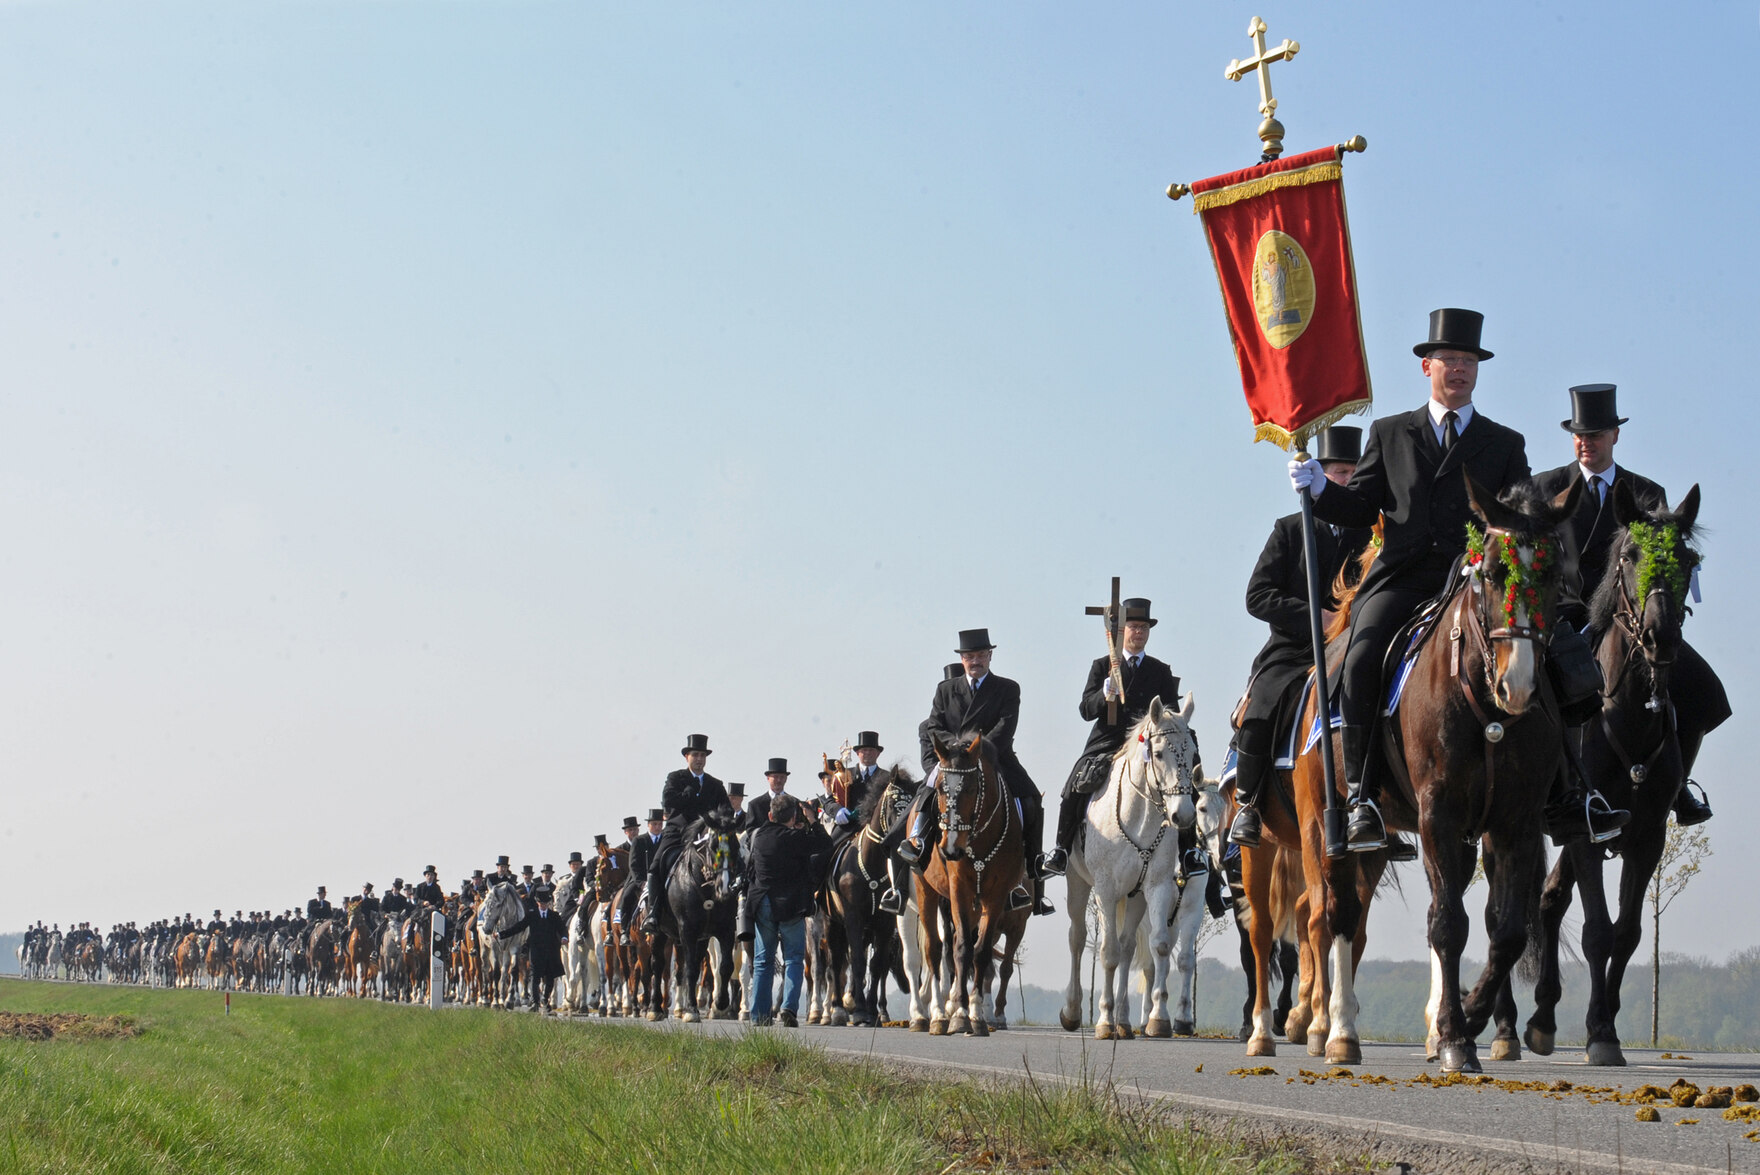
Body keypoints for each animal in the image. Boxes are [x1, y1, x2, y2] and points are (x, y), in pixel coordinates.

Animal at [478, 879, 524, 1013]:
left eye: (498, 905)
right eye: (487, 903)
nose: (486, 928)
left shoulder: (514, 947)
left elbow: (512, 971)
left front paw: (508, 1001)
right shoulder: (494, 947)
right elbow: (496, 972)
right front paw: (494, 1002)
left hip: (505, 951)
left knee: (504, 971)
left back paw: (502, 1000)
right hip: (484, 947)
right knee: (485, 968)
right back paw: (485, 1000)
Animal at [1048, 693, 1203, 1041]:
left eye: (1192, 753)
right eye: (1158, 754)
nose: (1184, 816)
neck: (1141, 816)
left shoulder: (1157, 888)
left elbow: (1158, 947)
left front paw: (1157, 1020)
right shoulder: (1105, 890)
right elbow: (1107, 953)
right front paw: (1104, 1022)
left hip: (1134, 898)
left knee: (1128, 946)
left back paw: (1123, 1020)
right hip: (1078, 883)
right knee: (1078, 938)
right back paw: (1073, 1012)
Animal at [1527, 478, 1703, 1062]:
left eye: (1688, 559)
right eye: (1630, 555)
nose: (1659, 639)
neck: (1626, 712)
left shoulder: (1644, 836)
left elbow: (1626, 931)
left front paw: (1604, 1024)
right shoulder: (1587, 834)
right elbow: (1598, 931)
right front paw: (1600, 1035)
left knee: (1547, 900)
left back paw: (1540, 1018)